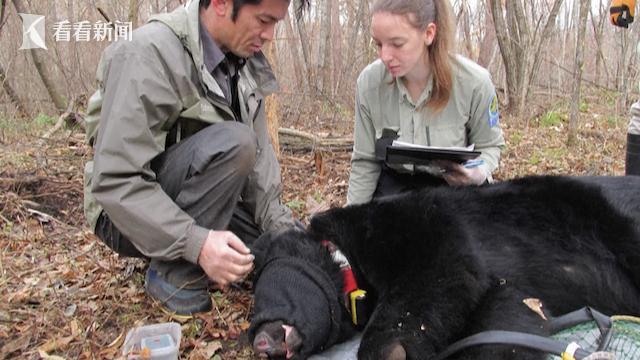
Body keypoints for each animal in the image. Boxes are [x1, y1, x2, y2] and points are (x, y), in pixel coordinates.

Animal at [248, 176, 640, 358]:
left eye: (268, 274)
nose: (261, 341)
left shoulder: (416, 224)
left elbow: (445, 266)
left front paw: (390, 349)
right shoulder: (508, 290)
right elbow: (505, 319)